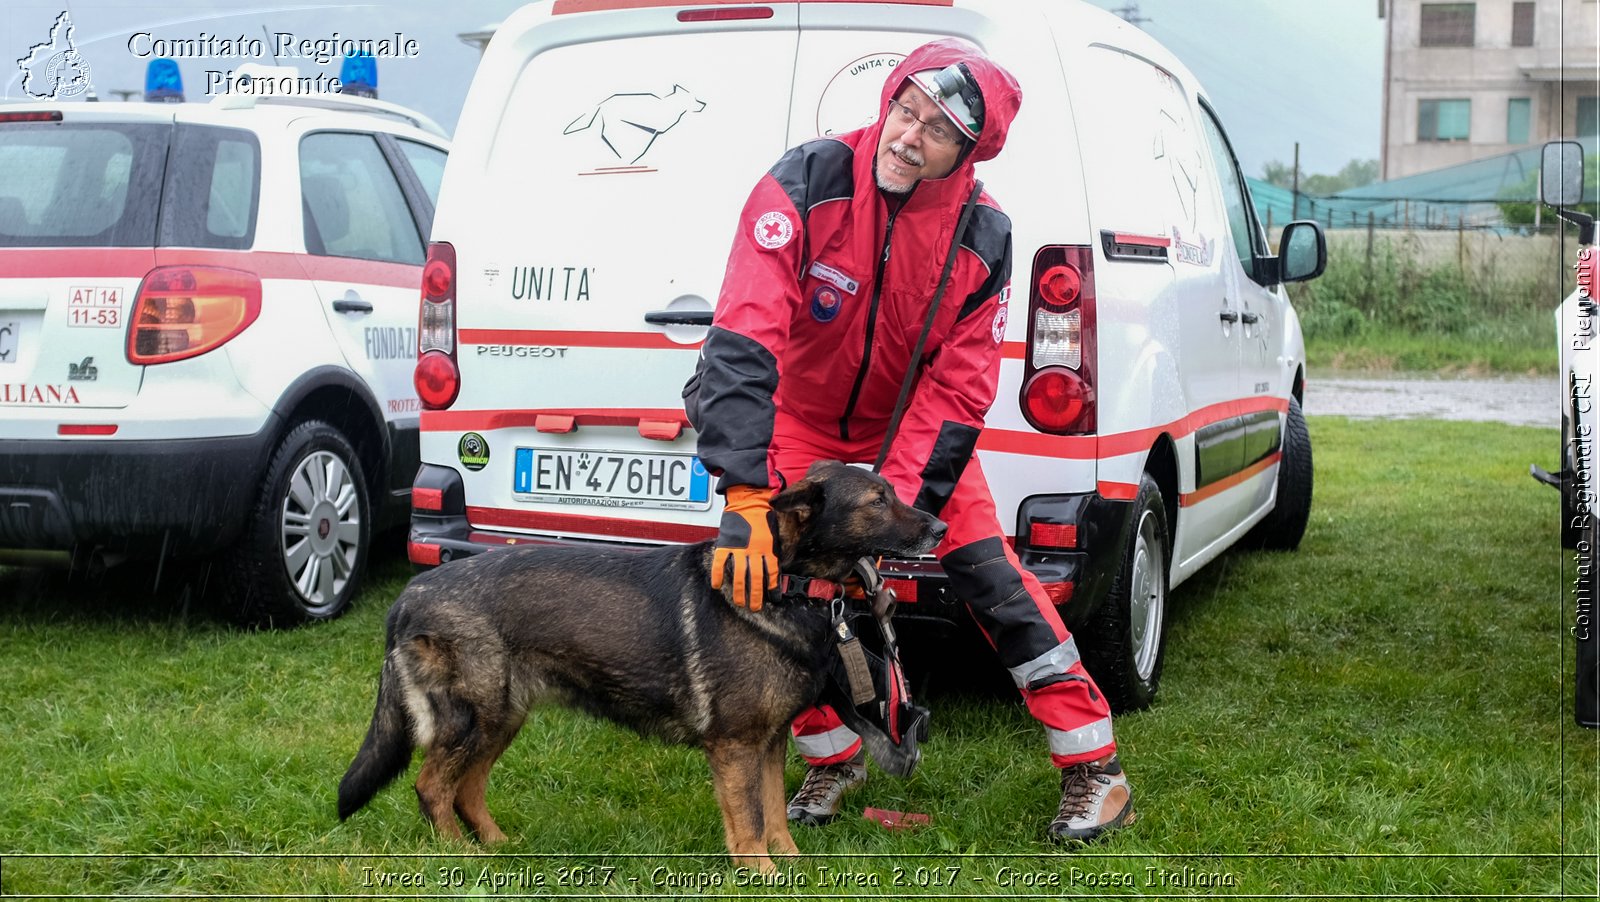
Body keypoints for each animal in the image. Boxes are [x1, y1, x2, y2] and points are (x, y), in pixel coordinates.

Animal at [332, 460, 940, 870]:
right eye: (877, 500)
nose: (938, 528)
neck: (786, 585)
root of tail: (408, 596)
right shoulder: (737, 746)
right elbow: (748, 819)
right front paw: (759, 873)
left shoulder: (768, 744)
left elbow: (771, 812)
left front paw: (788, 867)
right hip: (472, 719)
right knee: (433, 787)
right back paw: (462, 857)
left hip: (502, 719)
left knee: (466, 789)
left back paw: (502, 847)